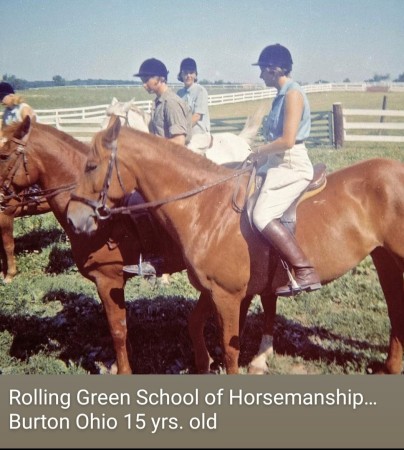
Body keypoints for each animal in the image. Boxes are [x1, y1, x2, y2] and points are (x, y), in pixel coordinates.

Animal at [66, 115, 404, 372]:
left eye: (91, 166)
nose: (72, 217)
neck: (205, 206)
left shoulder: (227, 296)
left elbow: (231, 352)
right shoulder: (215, 290)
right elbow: (195, 324)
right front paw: (204, 364)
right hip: (384, 258)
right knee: (395, 310)